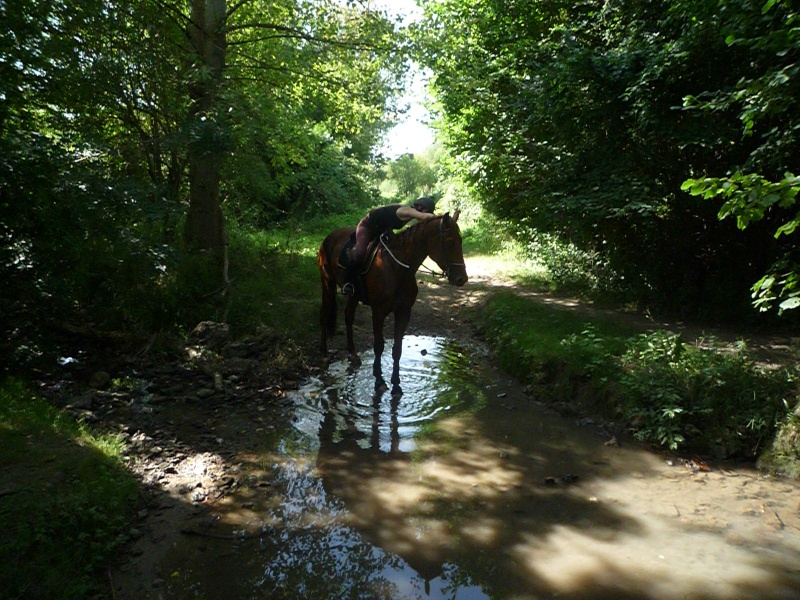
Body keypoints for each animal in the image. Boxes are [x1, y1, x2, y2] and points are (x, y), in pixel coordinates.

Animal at [318, 212, 468, 398]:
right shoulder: (378, 313)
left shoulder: (403, 312)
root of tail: (329, 237)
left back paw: (353, 354)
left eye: (460, 240)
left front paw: (396, 385)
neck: (397, 268)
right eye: (449, 240)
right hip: (327, 283)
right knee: (324, 315)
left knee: (348, 317)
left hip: (353, 296)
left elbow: (397, 349)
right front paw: (379, 381)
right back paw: (324, 354)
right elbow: (378, 346)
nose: (462, 279)